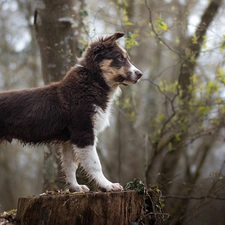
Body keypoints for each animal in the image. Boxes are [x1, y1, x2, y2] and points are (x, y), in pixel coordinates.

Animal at [0, 32, 142, 192]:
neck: (93, 81)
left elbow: (70, 165)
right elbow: (95, 164)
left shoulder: (70, 138)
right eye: (120, 58)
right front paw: (108, 185)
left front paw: (76, 187)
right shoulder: (83, 132)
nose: (140, 74)